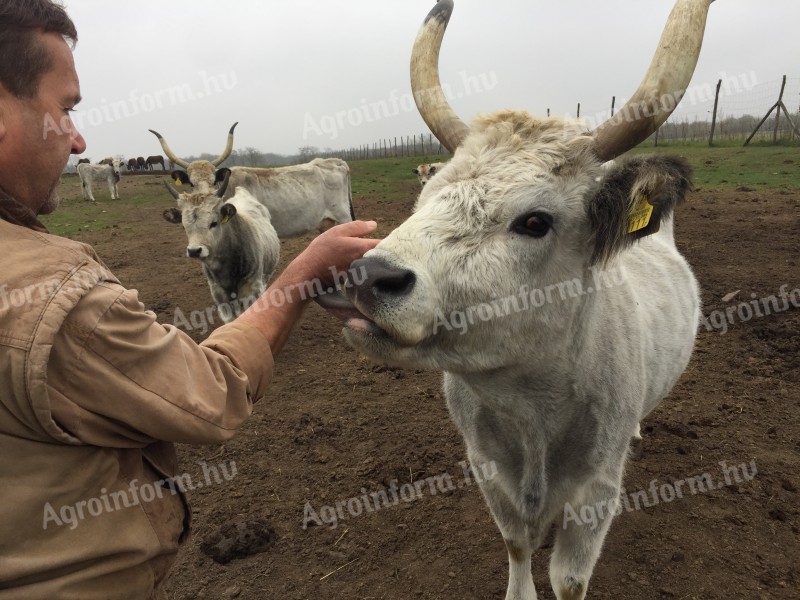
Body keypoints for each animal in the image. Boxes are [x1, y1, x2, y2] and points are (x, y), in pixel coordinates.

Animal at [318, 2, 712, 596]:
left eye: (534, 221)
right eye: (424, 198)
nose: (369, 275)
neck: (533, 409)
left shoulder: (597, 492)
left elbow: (569, 579)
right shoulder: (487, 469)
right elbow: (517, 543)